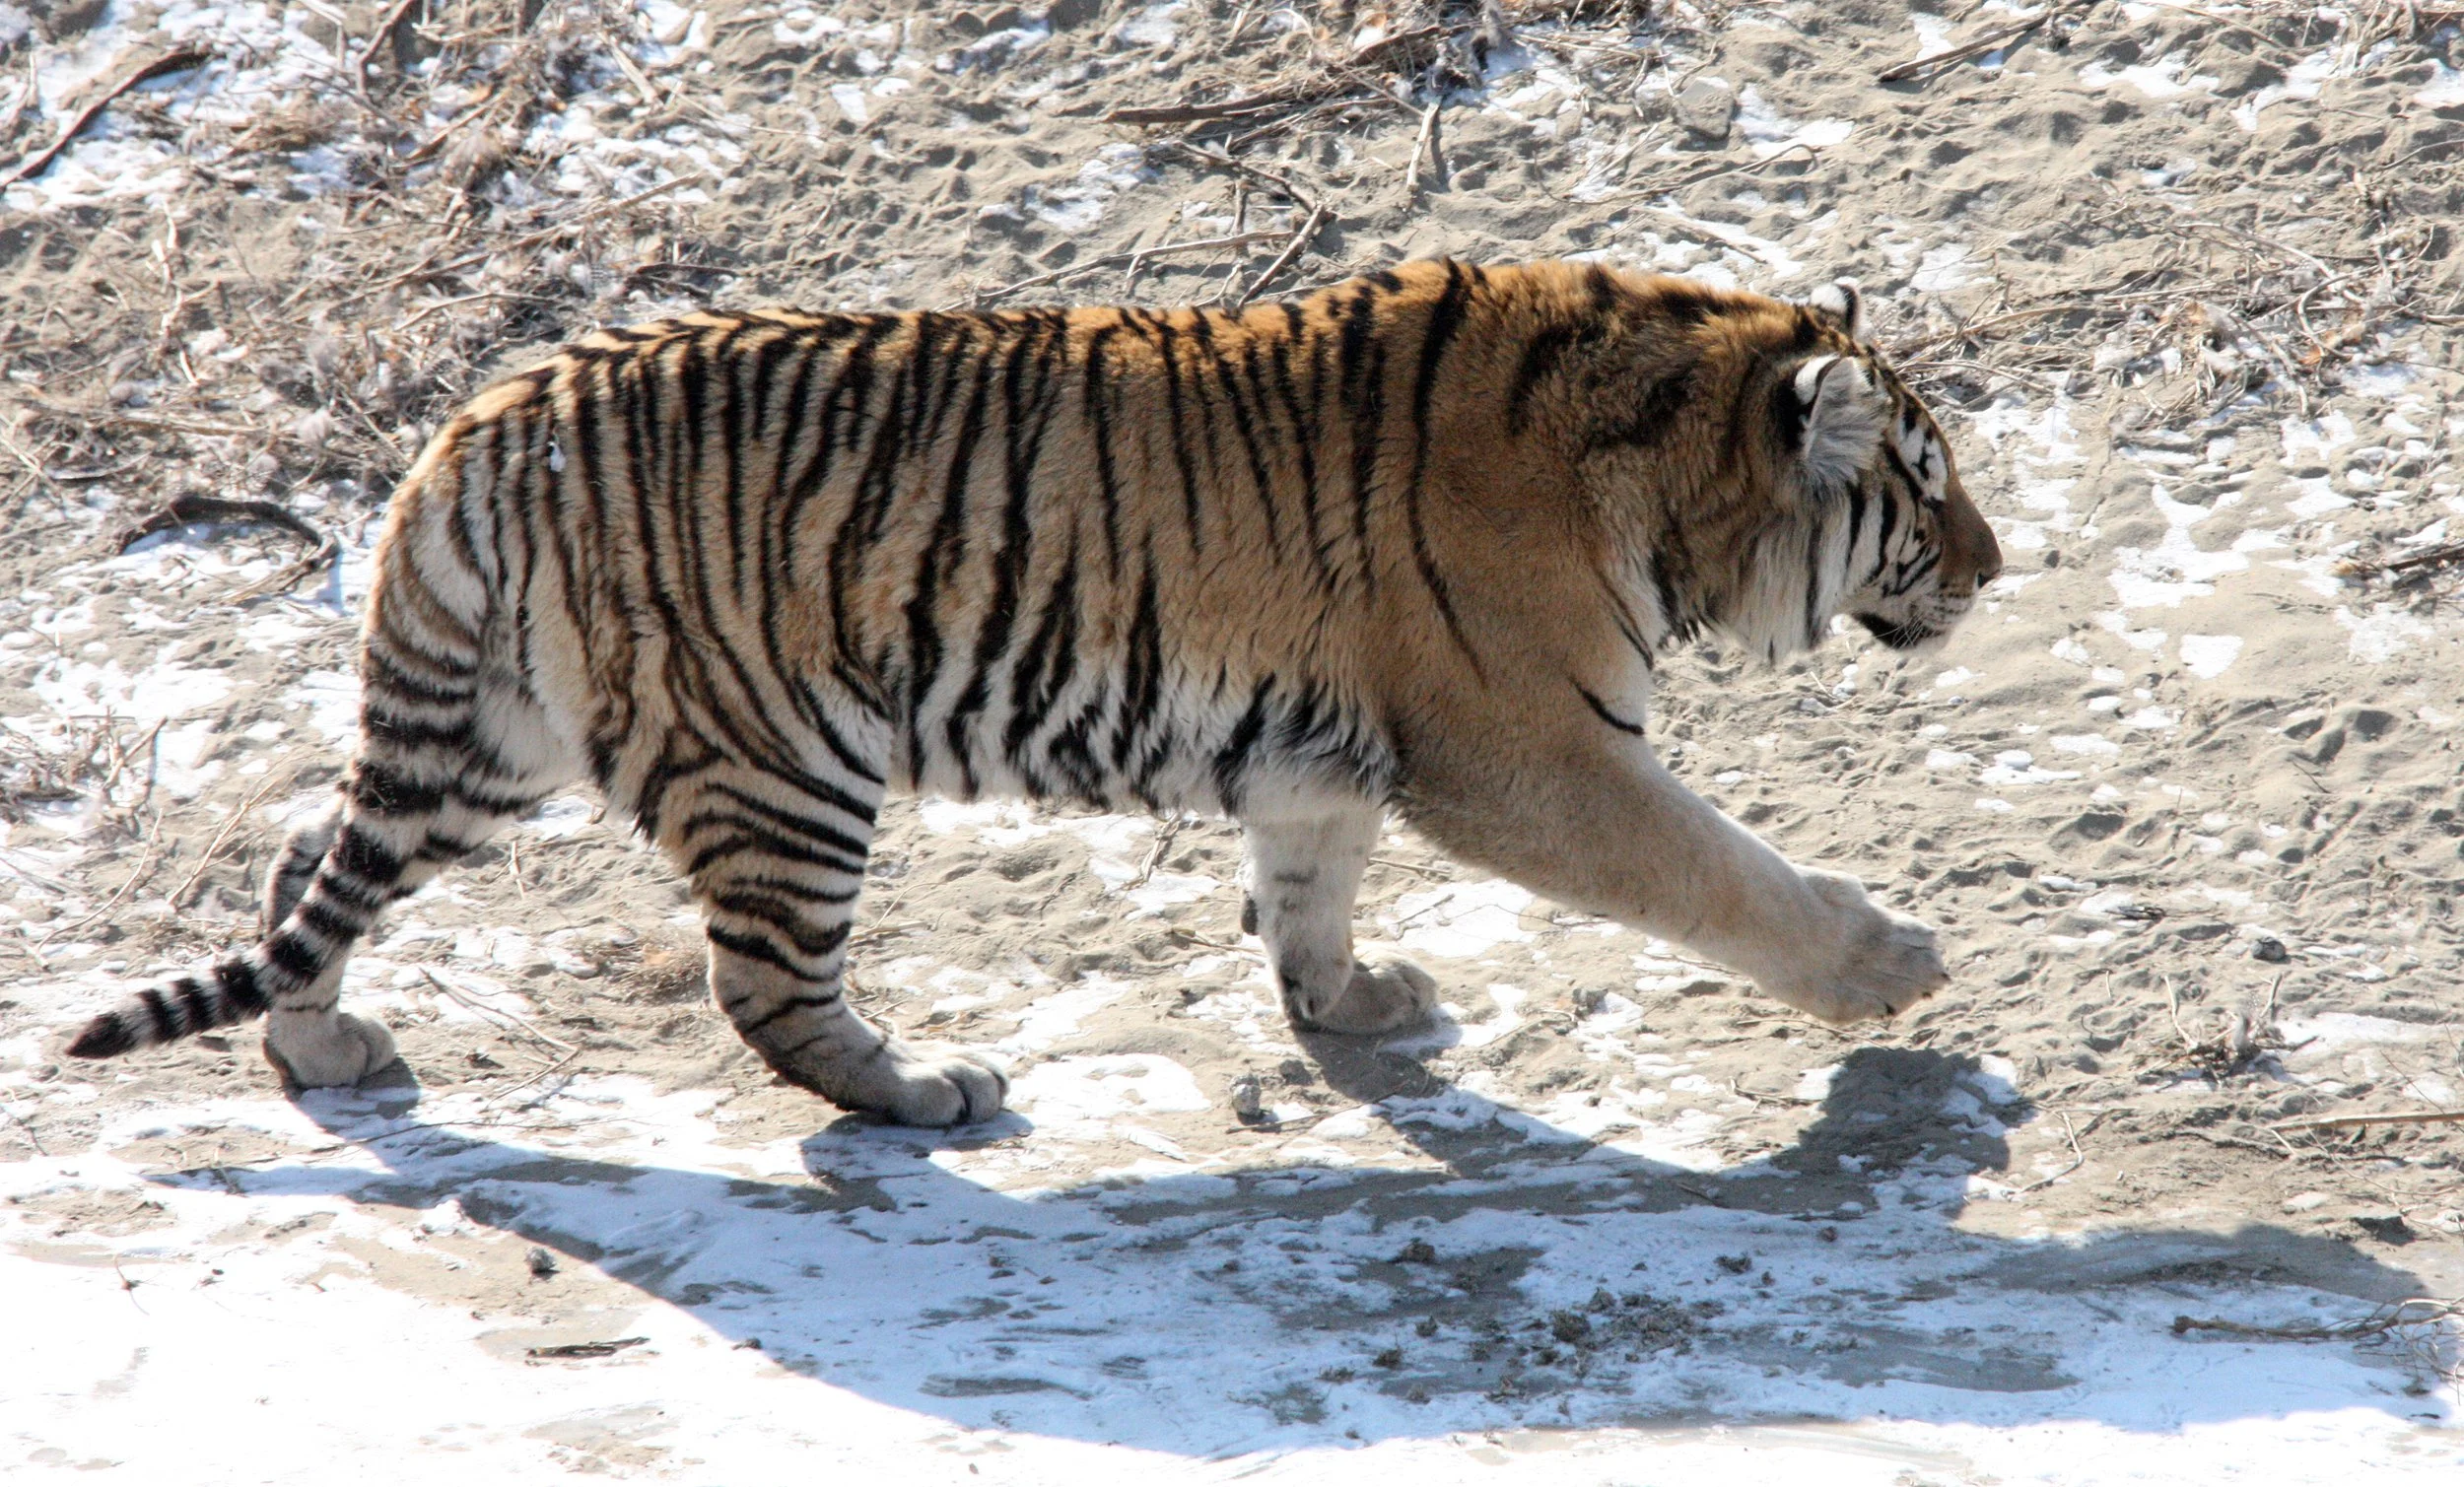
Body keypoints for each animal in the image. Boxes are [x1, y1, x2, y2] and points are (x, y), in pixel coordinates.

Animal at [66, 259, 2002, 1127]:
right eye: (1926, 486)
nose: (1994, 567)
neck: (1666, 465)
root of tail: (471, 428)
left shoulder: (1322, 762)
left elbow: (1307, 898)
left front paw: (1357, 1004)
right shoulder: (1532, 752)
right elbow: (1723, 870)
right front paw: (1892, 965)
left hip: (483, 740)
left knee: (303, 871)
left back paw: (323, 1046)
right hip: (785, 769)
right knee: (762, 984)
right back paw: (926, 1088)